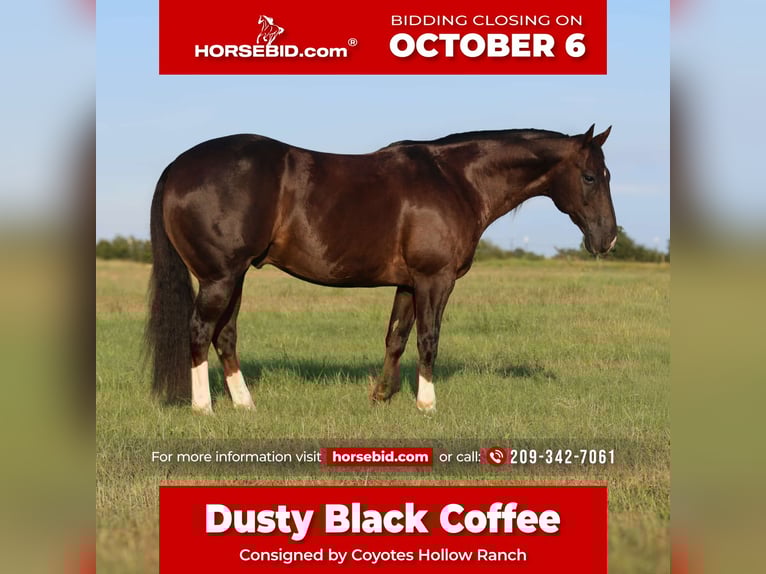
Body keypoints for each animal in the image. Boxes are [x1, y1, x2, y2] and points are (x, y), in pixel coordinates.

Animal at [145, 125, 616, 414]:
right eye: (591, 177)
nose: (608, 239)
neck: (455, 180)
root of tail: (177, 166)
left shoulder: (408, 284)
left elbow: (396, 338)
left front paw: (381, 396)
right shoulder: (434, 280)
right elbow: (428, 339)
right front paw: (427, 404)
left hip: (236, 276)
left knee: (225, 335)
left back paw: (245, 405)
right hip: (219, 277)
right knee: (200, 331)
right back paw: (204, 408)